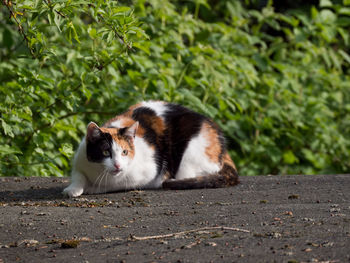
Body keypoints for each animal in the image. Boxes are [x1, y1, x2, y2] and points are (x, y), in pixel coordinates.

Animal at [62, 101, 238, 198]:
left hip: (190, 156)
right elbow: (78, 176)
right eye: (106, 152)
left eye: (125, 152)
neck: (99, 173)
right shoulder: (80, 160)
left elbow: (112, 185)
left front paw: (91, 188)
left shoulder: (147, 173)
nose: (118, 165)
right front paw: (73, 189)